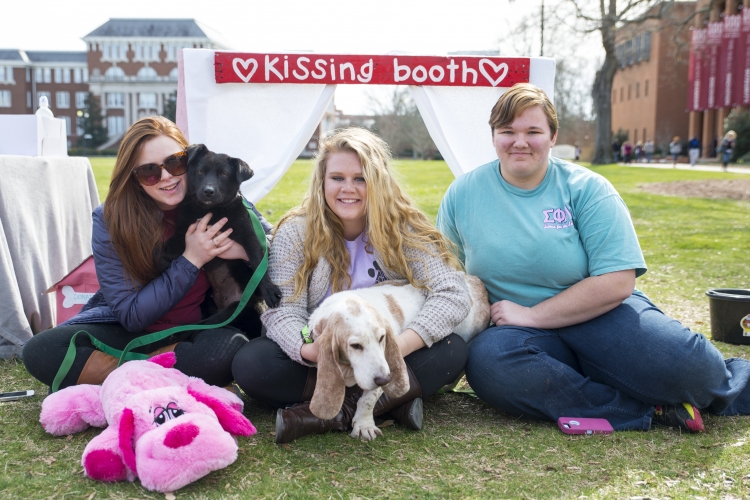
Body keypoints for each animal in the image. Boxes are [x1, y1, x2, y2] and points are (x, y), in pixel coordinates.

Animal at [162, 143, 282, 326]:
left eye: (224, 174)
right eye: (200, 172)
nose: (208, 191)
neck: (211, 210)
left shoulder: (248, 236)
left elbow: (258, 261)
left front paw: (269, 289)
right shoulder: (184, 234)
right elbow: (163, 248)